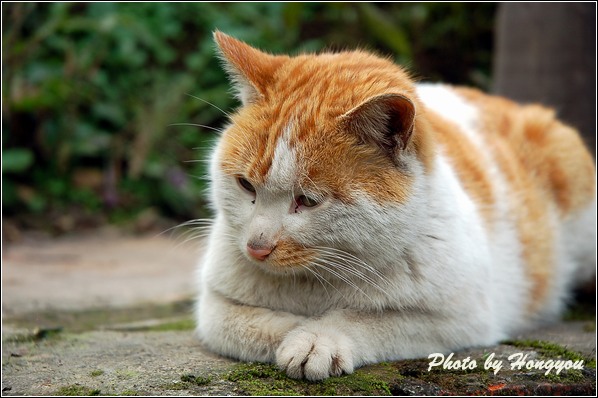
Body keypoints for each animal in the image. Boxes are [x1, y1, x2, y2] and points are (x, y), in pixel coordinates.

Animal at [196, 30, 596, 380]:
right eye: (246, 184)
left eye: (307, 200)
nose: (256, 247)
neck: (319, 277)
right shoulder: (213, 307)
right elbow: (248, 325)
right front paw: (298, 330)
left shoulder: (461, 317)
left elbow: (368, 320)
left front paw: (319, 337)